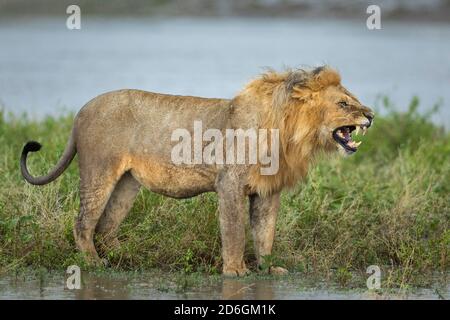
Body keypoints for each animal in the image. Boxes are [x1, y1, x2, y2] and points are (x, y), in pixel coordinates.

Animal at [20, 65, 372, 276]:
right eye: (343, 104)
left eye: (353, 99)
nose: (370, 115)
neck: (288, 133)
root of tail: (81, 110)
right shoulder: (230, 184)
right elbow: (235, 231)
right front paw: (236, 270)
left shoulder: (267, 191)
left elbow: (265, 234)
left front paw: (270, 269)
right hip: (99, 172)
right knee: (83, 223)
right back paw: (94, 264)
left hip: (127, 184)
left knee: (106, 226)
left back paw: (128, 256)